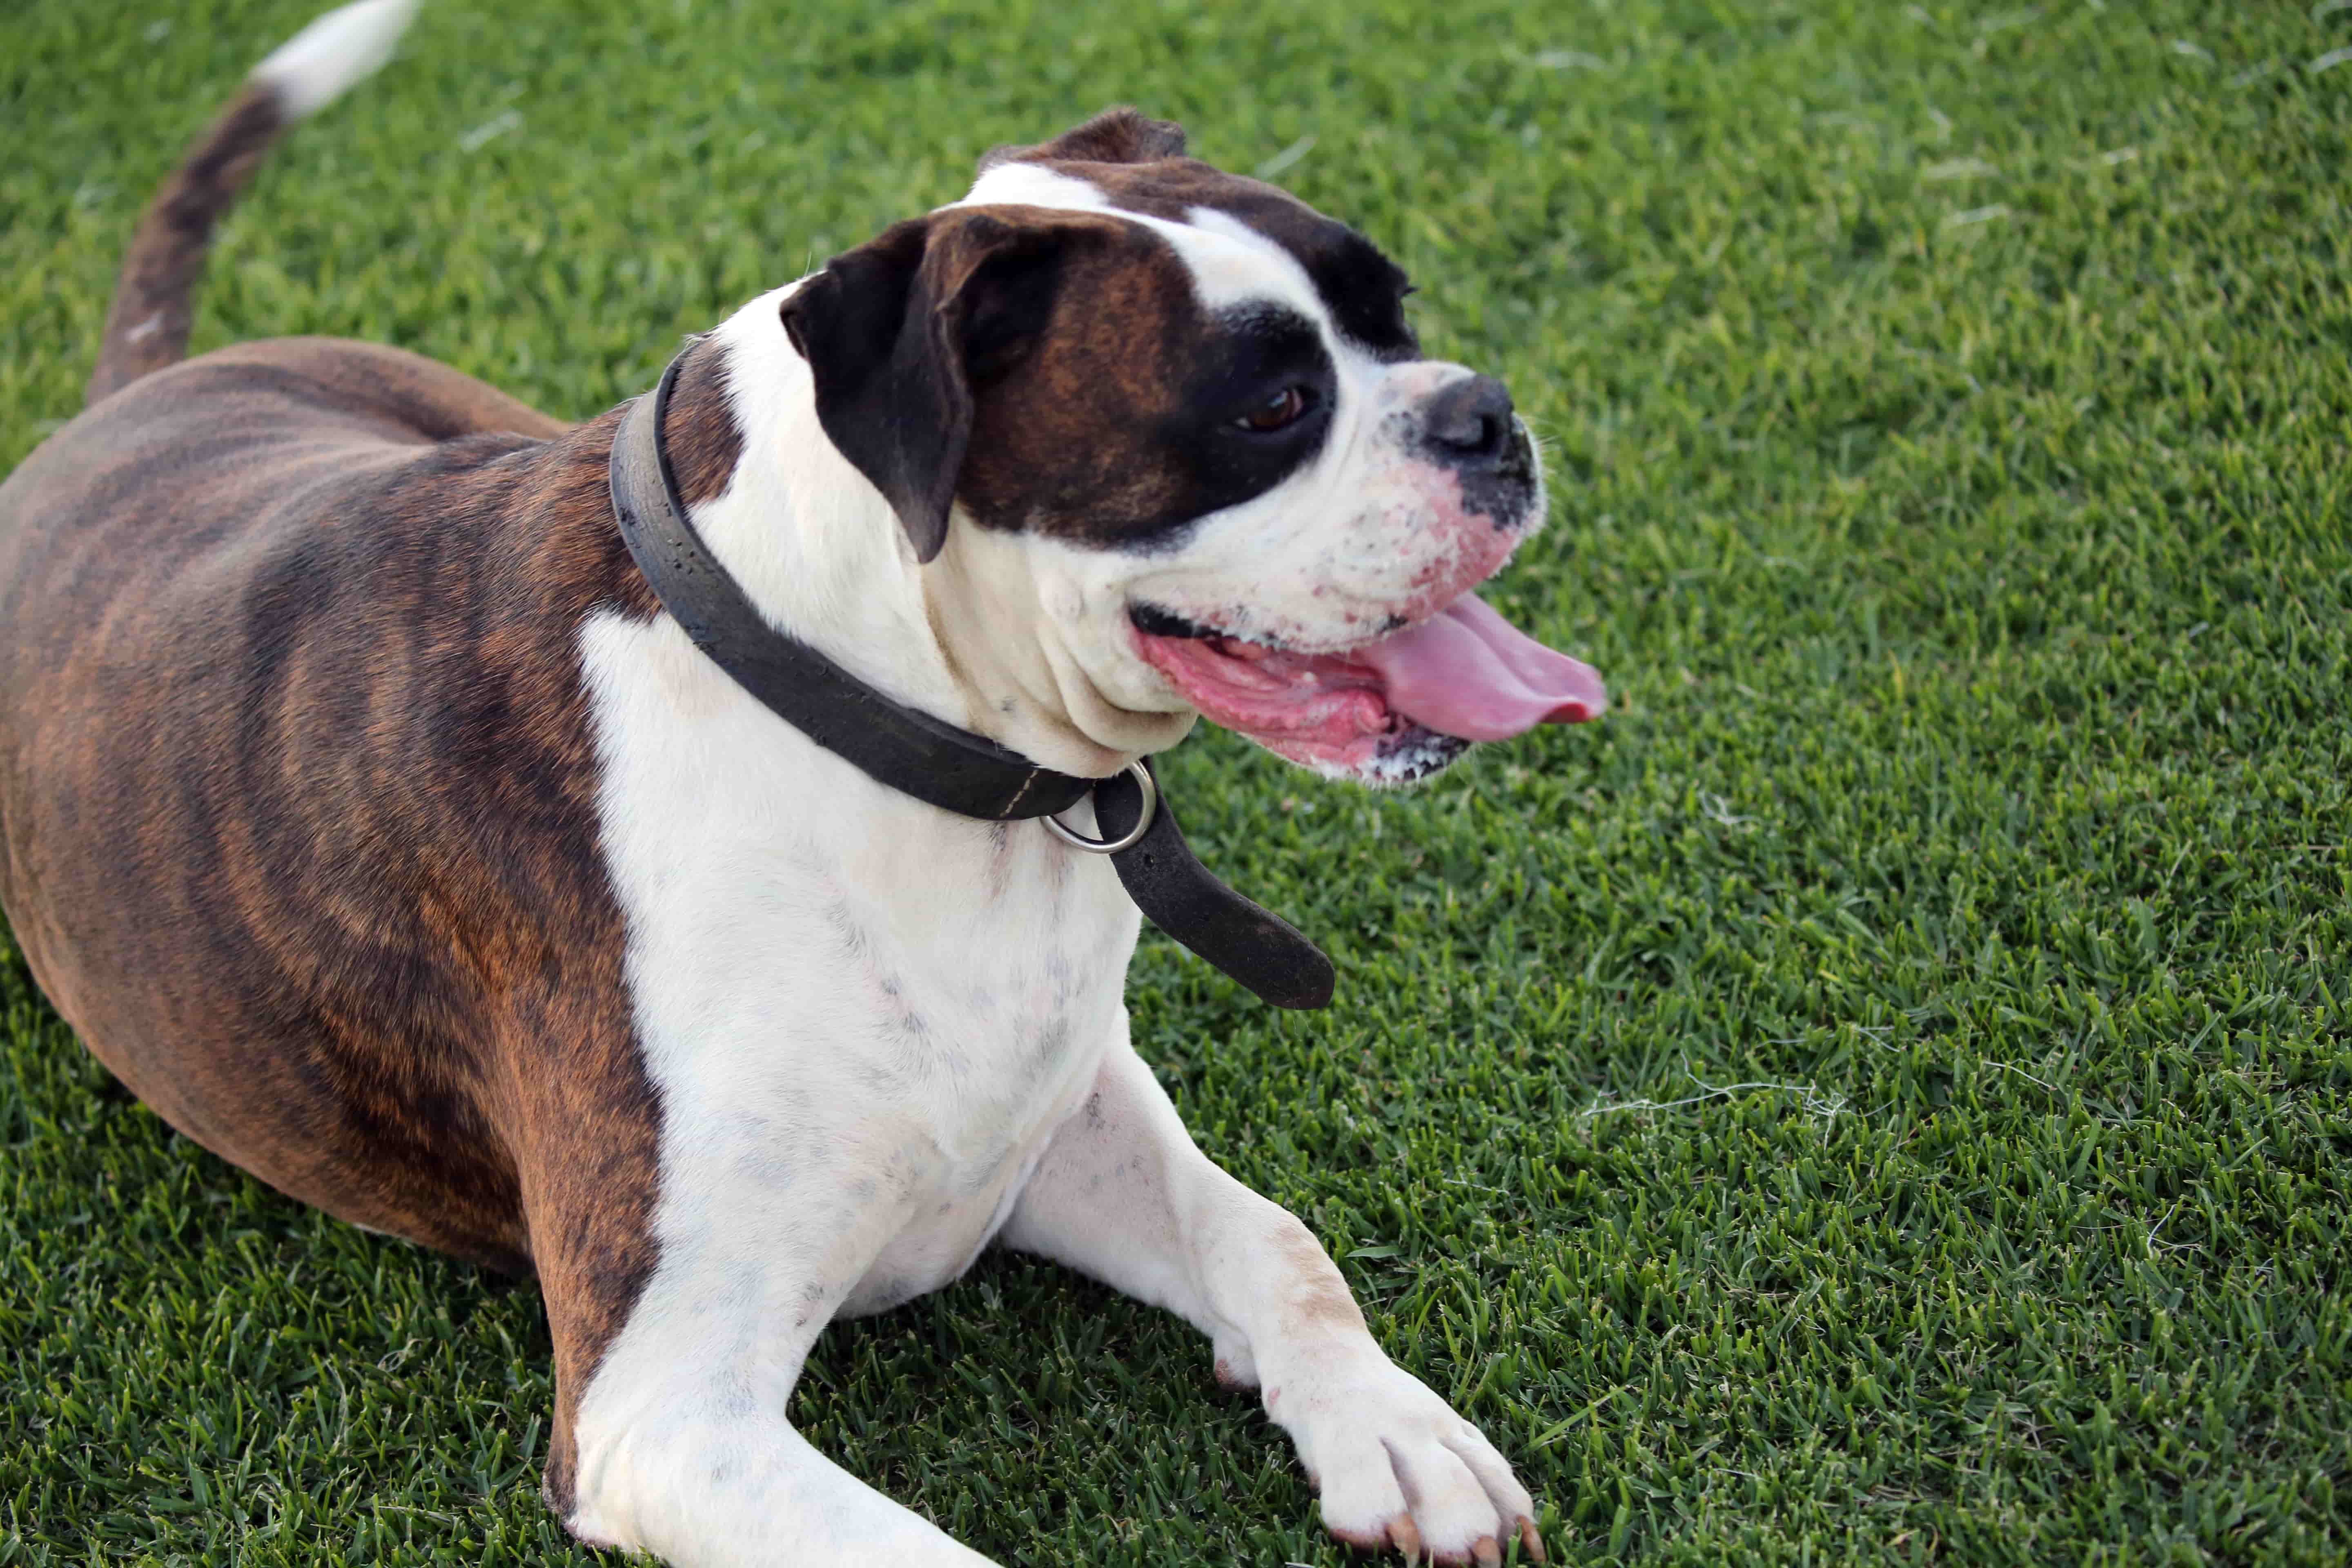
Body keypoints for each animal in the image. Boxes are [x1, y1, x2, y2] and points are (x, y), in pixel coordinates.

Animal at [0, 6, 1599, 1561]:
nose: (1489, 415)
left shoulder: (1051, 1122)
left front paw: (1391, 1429)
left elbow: (1273, 1236)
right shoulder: (666, 1416)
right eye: (1272, 406)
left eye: (1398, 314)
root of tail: (123, 405)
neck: (872, 723)